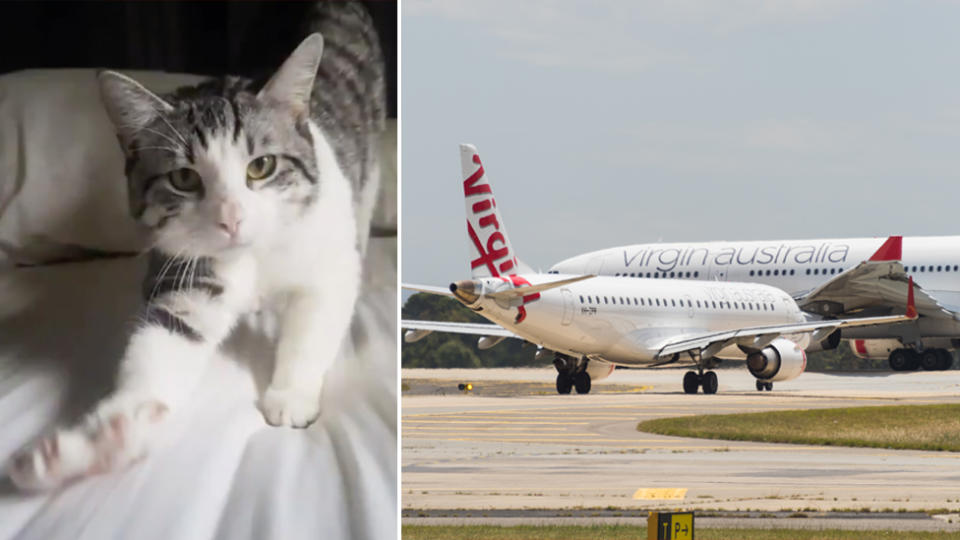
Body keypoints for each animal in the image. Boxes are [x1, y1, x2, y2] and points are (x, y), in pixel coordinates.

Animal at [6, 0, 386, 492]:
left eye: (261, 166)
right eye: (184, 178)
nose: (231, 218)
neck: (252, 256)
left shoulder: (326, 261)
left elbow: (314, 323)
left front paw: (291, 396)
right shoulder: (184, 272)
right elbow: (161, 347)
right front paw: (100, 442)